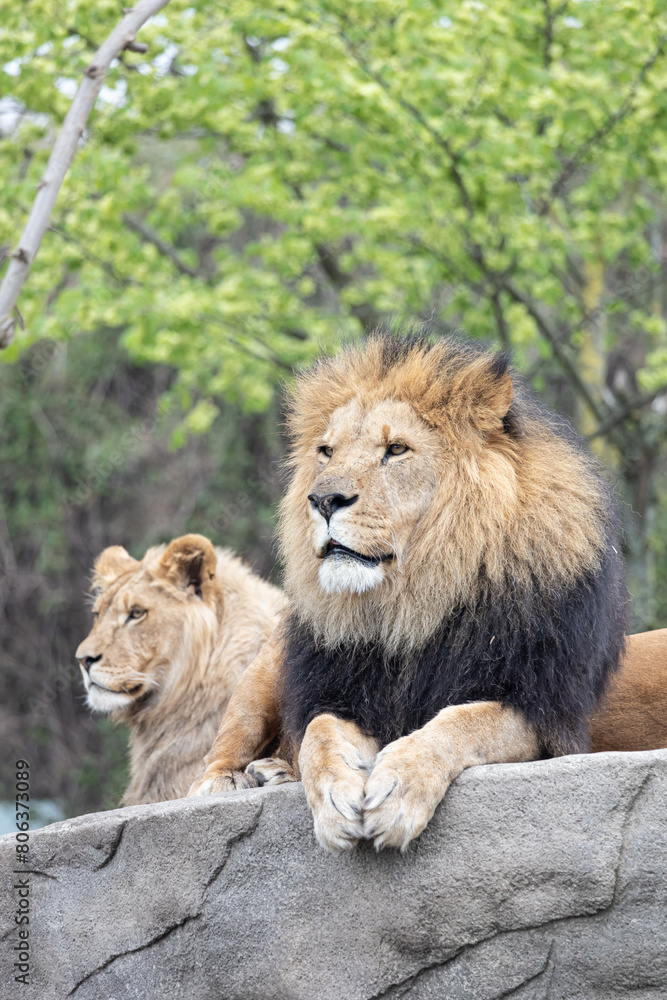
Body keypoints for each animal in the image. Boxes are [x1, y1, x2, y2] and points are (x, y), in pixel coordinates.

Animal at [189, 335, 627, 853]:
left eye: (396, 449)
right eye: (326, 452)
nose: (323, 500)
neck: (411, 604)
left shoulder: (541, 711)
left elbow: (459, 722)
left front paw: (398, 789)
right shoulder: (344, 692)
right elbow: (318, 732)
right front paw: (334, 798)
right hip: (262, 673)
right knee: (223, 749)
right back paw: (229, 781)